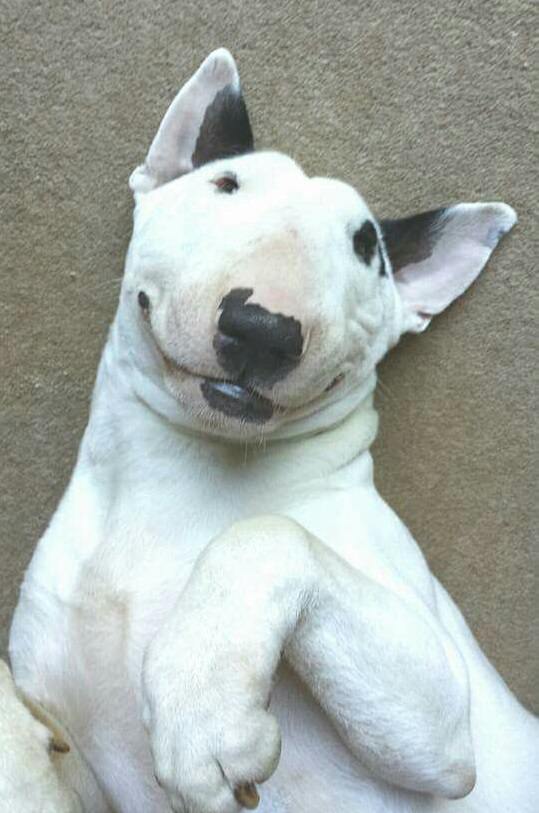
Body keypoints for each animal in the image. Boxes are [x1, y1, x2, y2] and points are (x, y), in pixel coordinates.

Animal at [5, 50, 539, 812]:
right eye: (225, 184)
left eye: (367, 246)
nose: (263, 330)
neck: (177, 475)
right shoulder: (71, 750)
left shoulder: (446, 724)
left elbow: (269, 532)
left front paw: (204, 714)